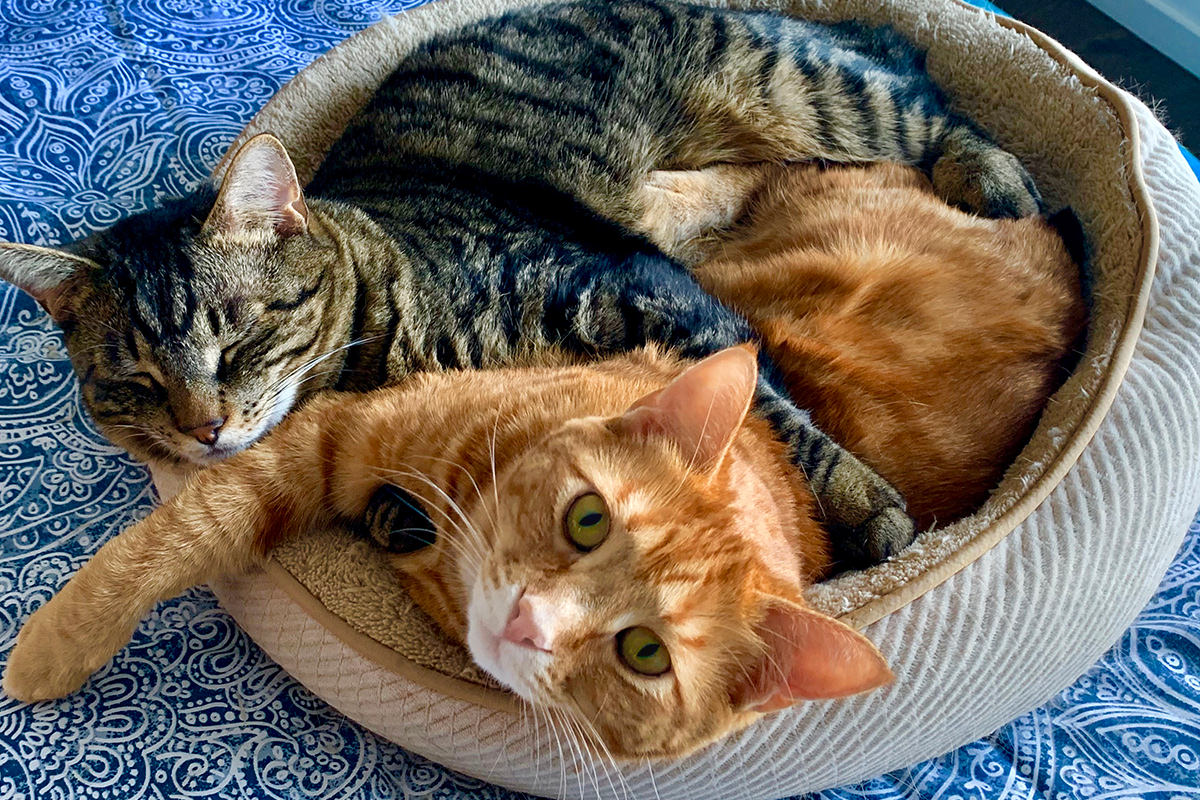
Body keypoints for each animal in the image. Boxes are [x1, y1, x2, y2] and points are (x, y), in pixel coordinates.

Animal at [0, 1, 1041, 563]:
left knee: (927, 106)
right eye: (135, 382)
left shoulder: (637, 288)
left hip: (796, 90)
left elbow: (777, 414)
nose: (202, 430)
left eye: (241, 334)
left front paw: (864, 507)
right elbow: (405, 506)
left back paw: (994, 178)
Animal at [4, 347, 892, 762]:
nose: (531, 621)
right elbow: (187, 530)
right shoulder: (341, 432)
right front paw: (58, 642)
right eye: (588, 520)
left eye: (645, 653)